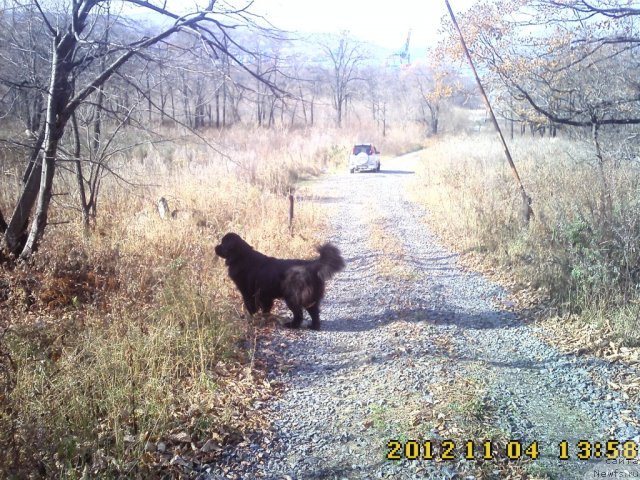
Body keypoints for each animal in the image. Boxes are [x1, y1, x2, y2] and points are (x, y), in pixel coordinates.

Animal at [215, 232, 344, 330]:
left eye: (223, 243)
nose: (215, 247)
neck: (241, 257)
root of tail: (312, 265)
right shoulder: (264, 295)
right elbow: (266, 308)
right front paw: (263, 318)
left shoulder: (248, 293)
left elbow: (251, 307)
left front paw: (251, 319)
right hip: (310, 298)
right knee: (314, 312)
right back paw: (313, 326)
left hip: (293, 297)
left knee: (299, 313)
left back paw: (292, 325)